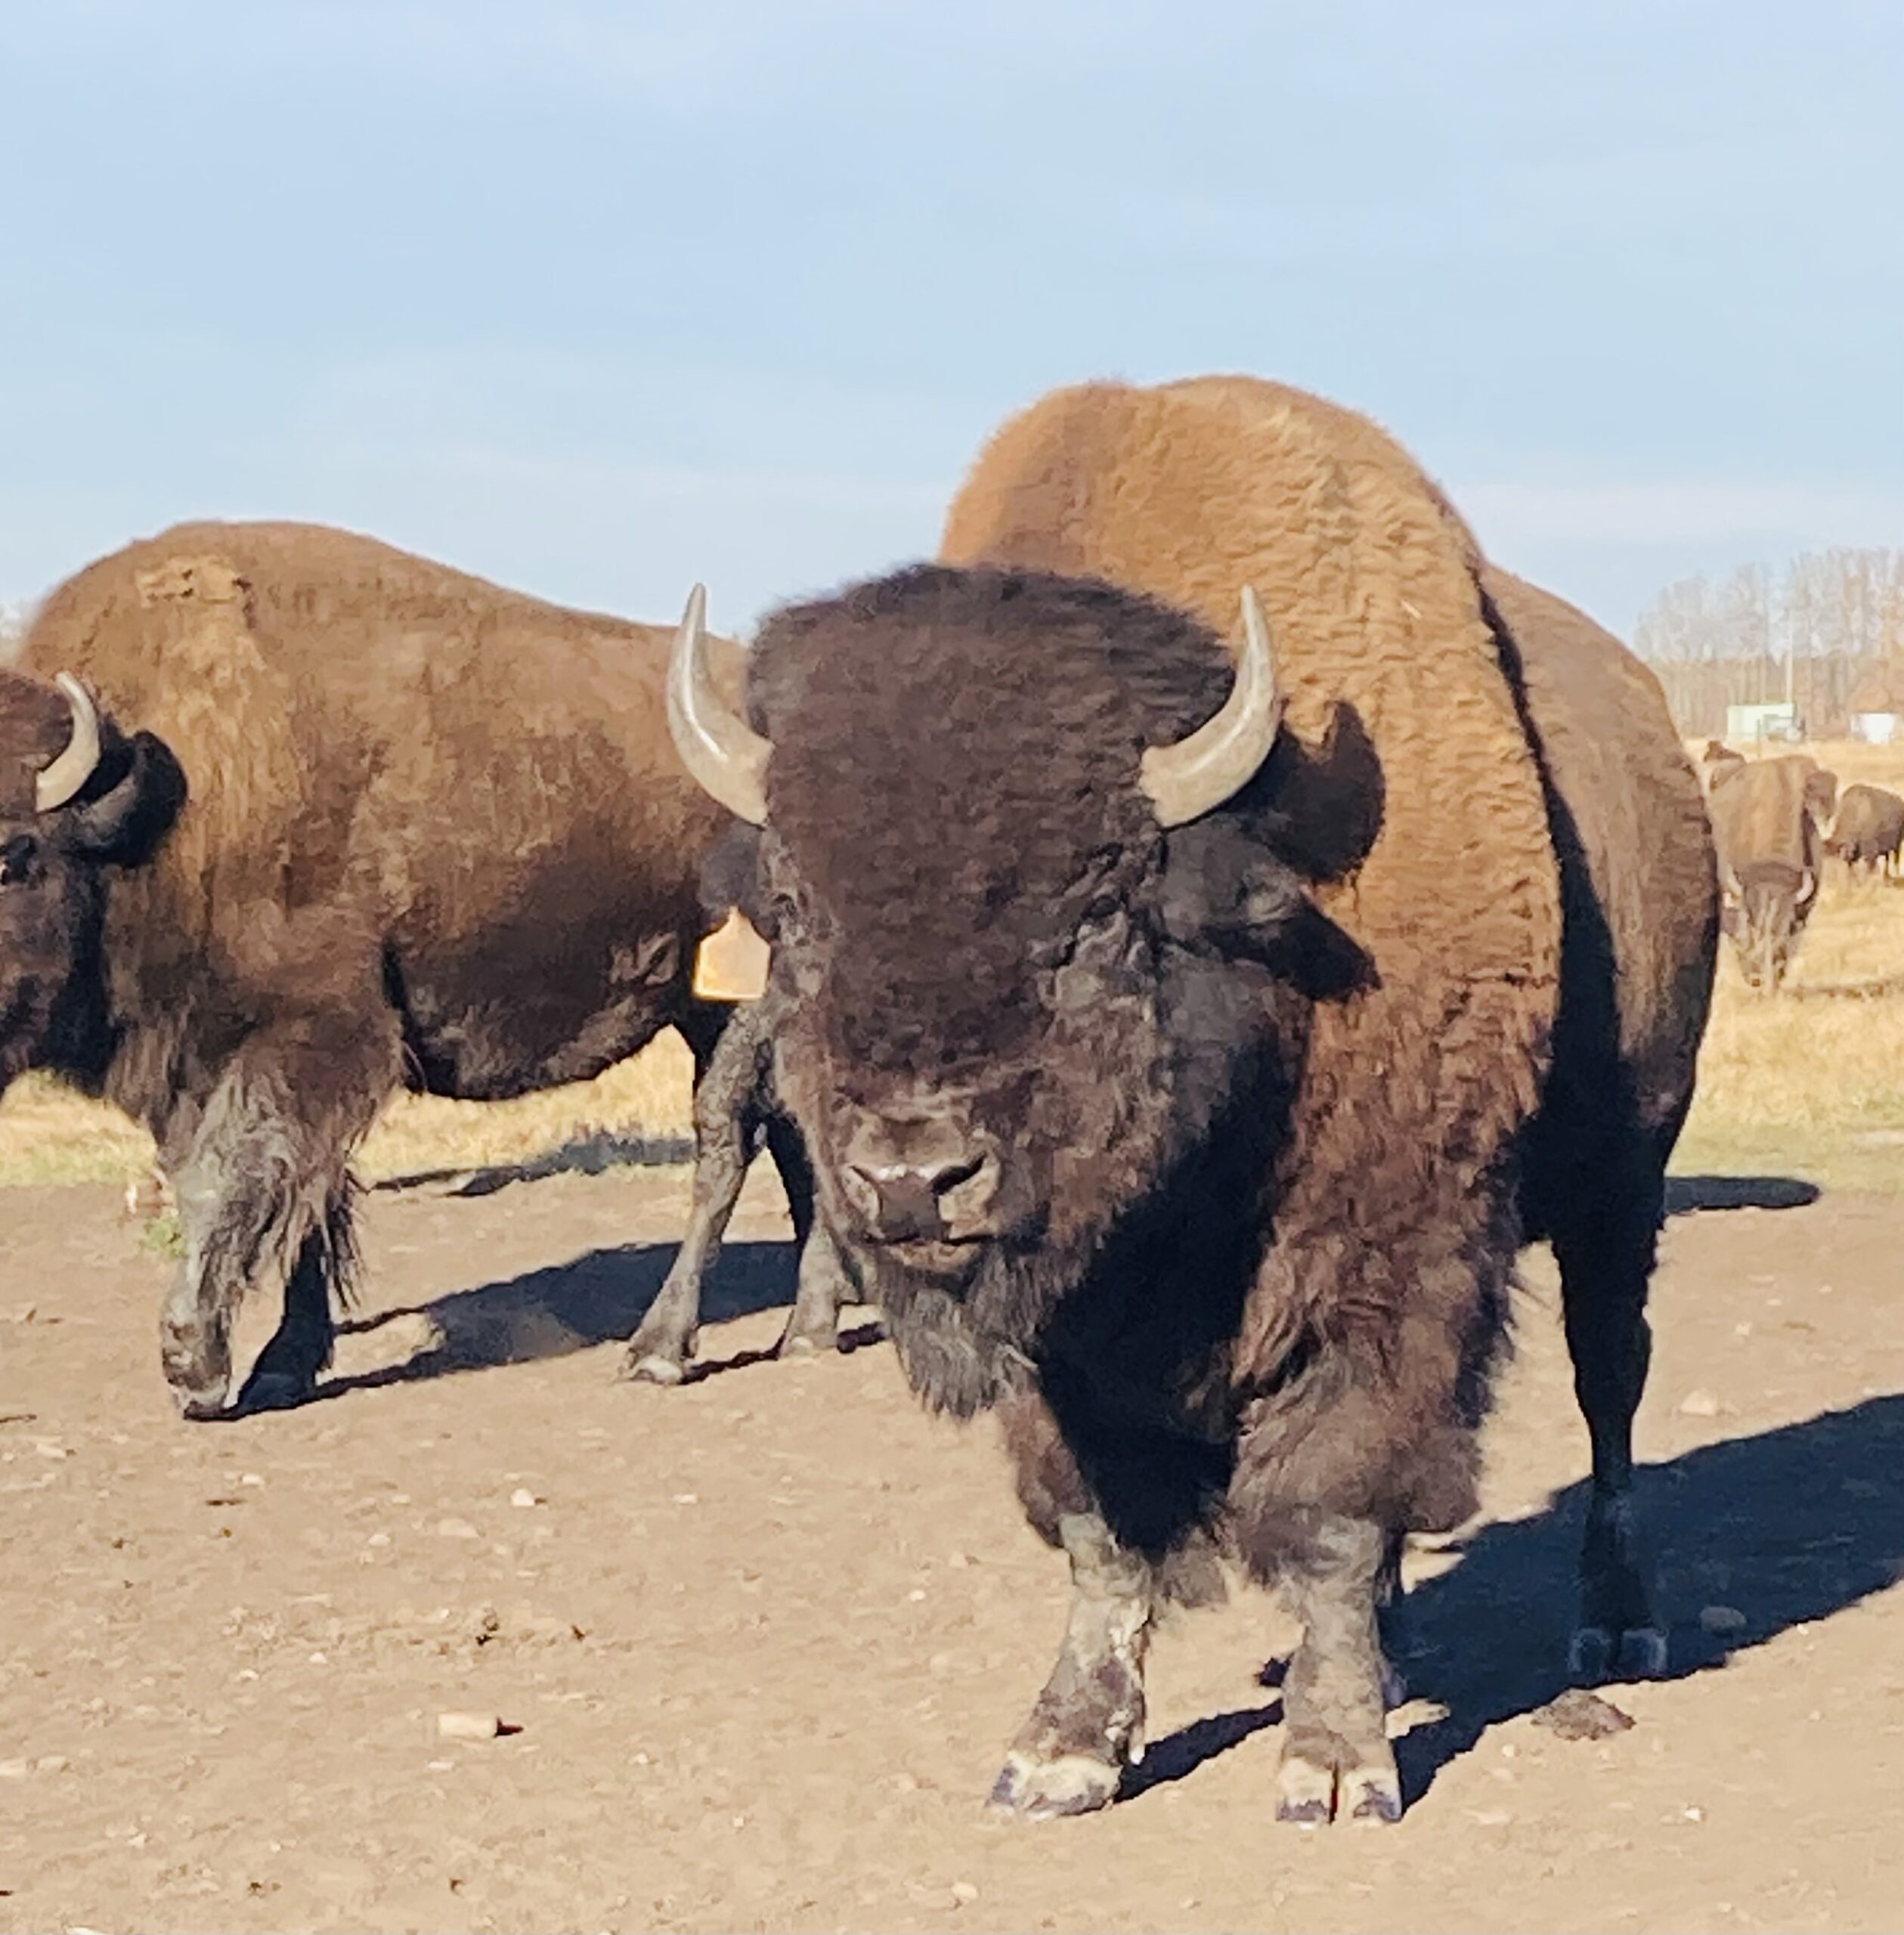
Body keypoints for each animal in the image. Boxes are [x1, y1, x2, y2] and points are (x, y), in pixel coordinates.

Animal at [1, 522, 828, 1416]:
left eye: (13, 854)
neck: (159, 807)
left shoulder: (307, 1041)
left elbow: (241, 1178)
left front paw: (196, 1362)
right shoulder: (212, 1063)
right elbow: (295, 1195)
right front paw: (280, 1362)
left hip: (734, 1005)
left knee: (727, 1137)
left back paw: (661, 1348)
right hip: (717, 1007)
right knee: (791, 1130)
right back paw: (812, 1323)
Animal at [665, 376, 1715, 1823]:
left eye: (1091, 919)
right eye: (800, 920)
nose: (909, 1178)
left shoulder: (1384, 1268)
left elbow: (1332, 1504)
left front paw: (1331, 1770)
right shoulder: (1060, 1344)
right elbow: (1098, 1531)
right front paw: (1059, 1751)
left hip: (1624, 1179)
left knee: (1608, 1380)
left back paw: (1614, 1623)